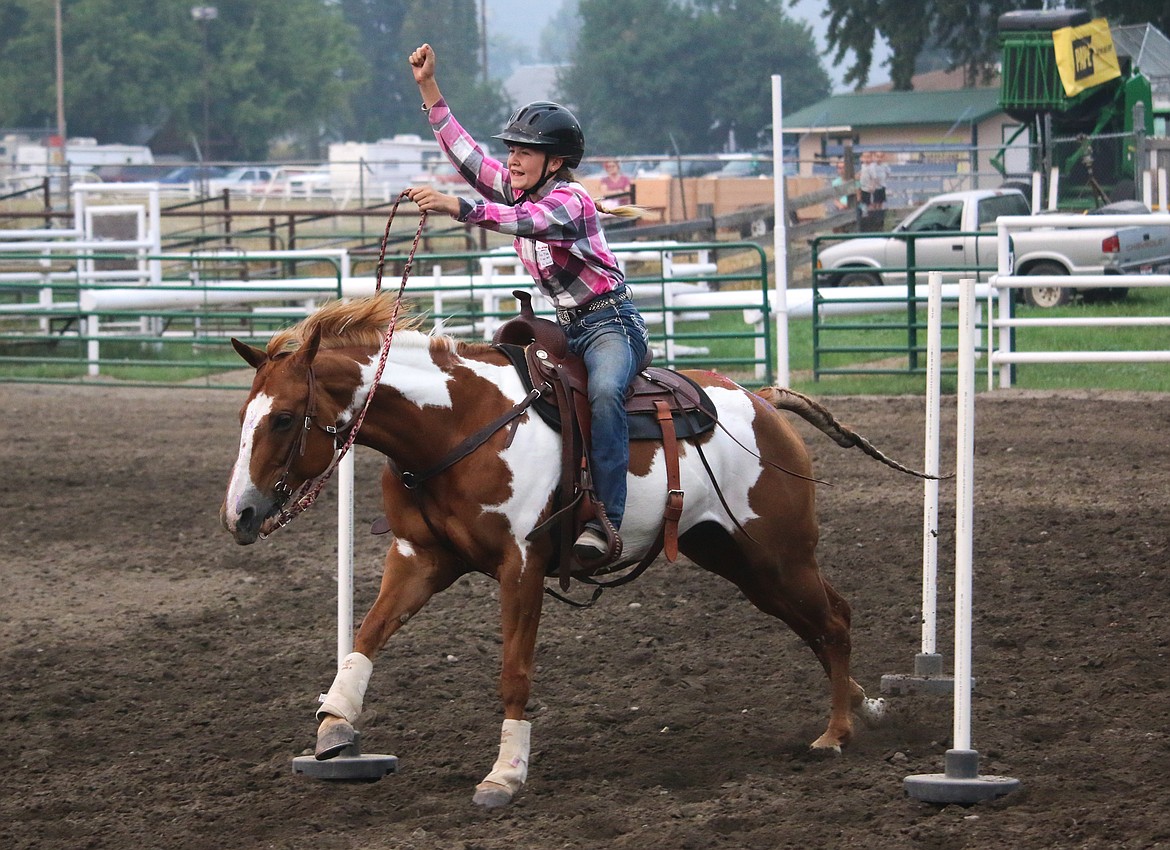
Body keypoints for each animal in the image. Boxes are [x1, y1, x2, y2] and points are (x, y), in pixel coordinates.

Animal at [221, 296, 921, 810]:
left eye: (282, 418)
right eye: (243, 415)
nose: (239, 515)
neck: (455, 425)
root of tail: (761, 400)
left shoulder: (522, 565)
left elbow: (514, 672)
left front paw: (504, 775)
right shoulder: (420, 556)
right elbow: (369, 631)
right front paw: (334, 725)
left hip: (778, 553)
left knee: (833, 621)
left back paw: (836, 733)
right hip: (738, 559)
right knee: (820, 622)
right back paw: (864, 706)